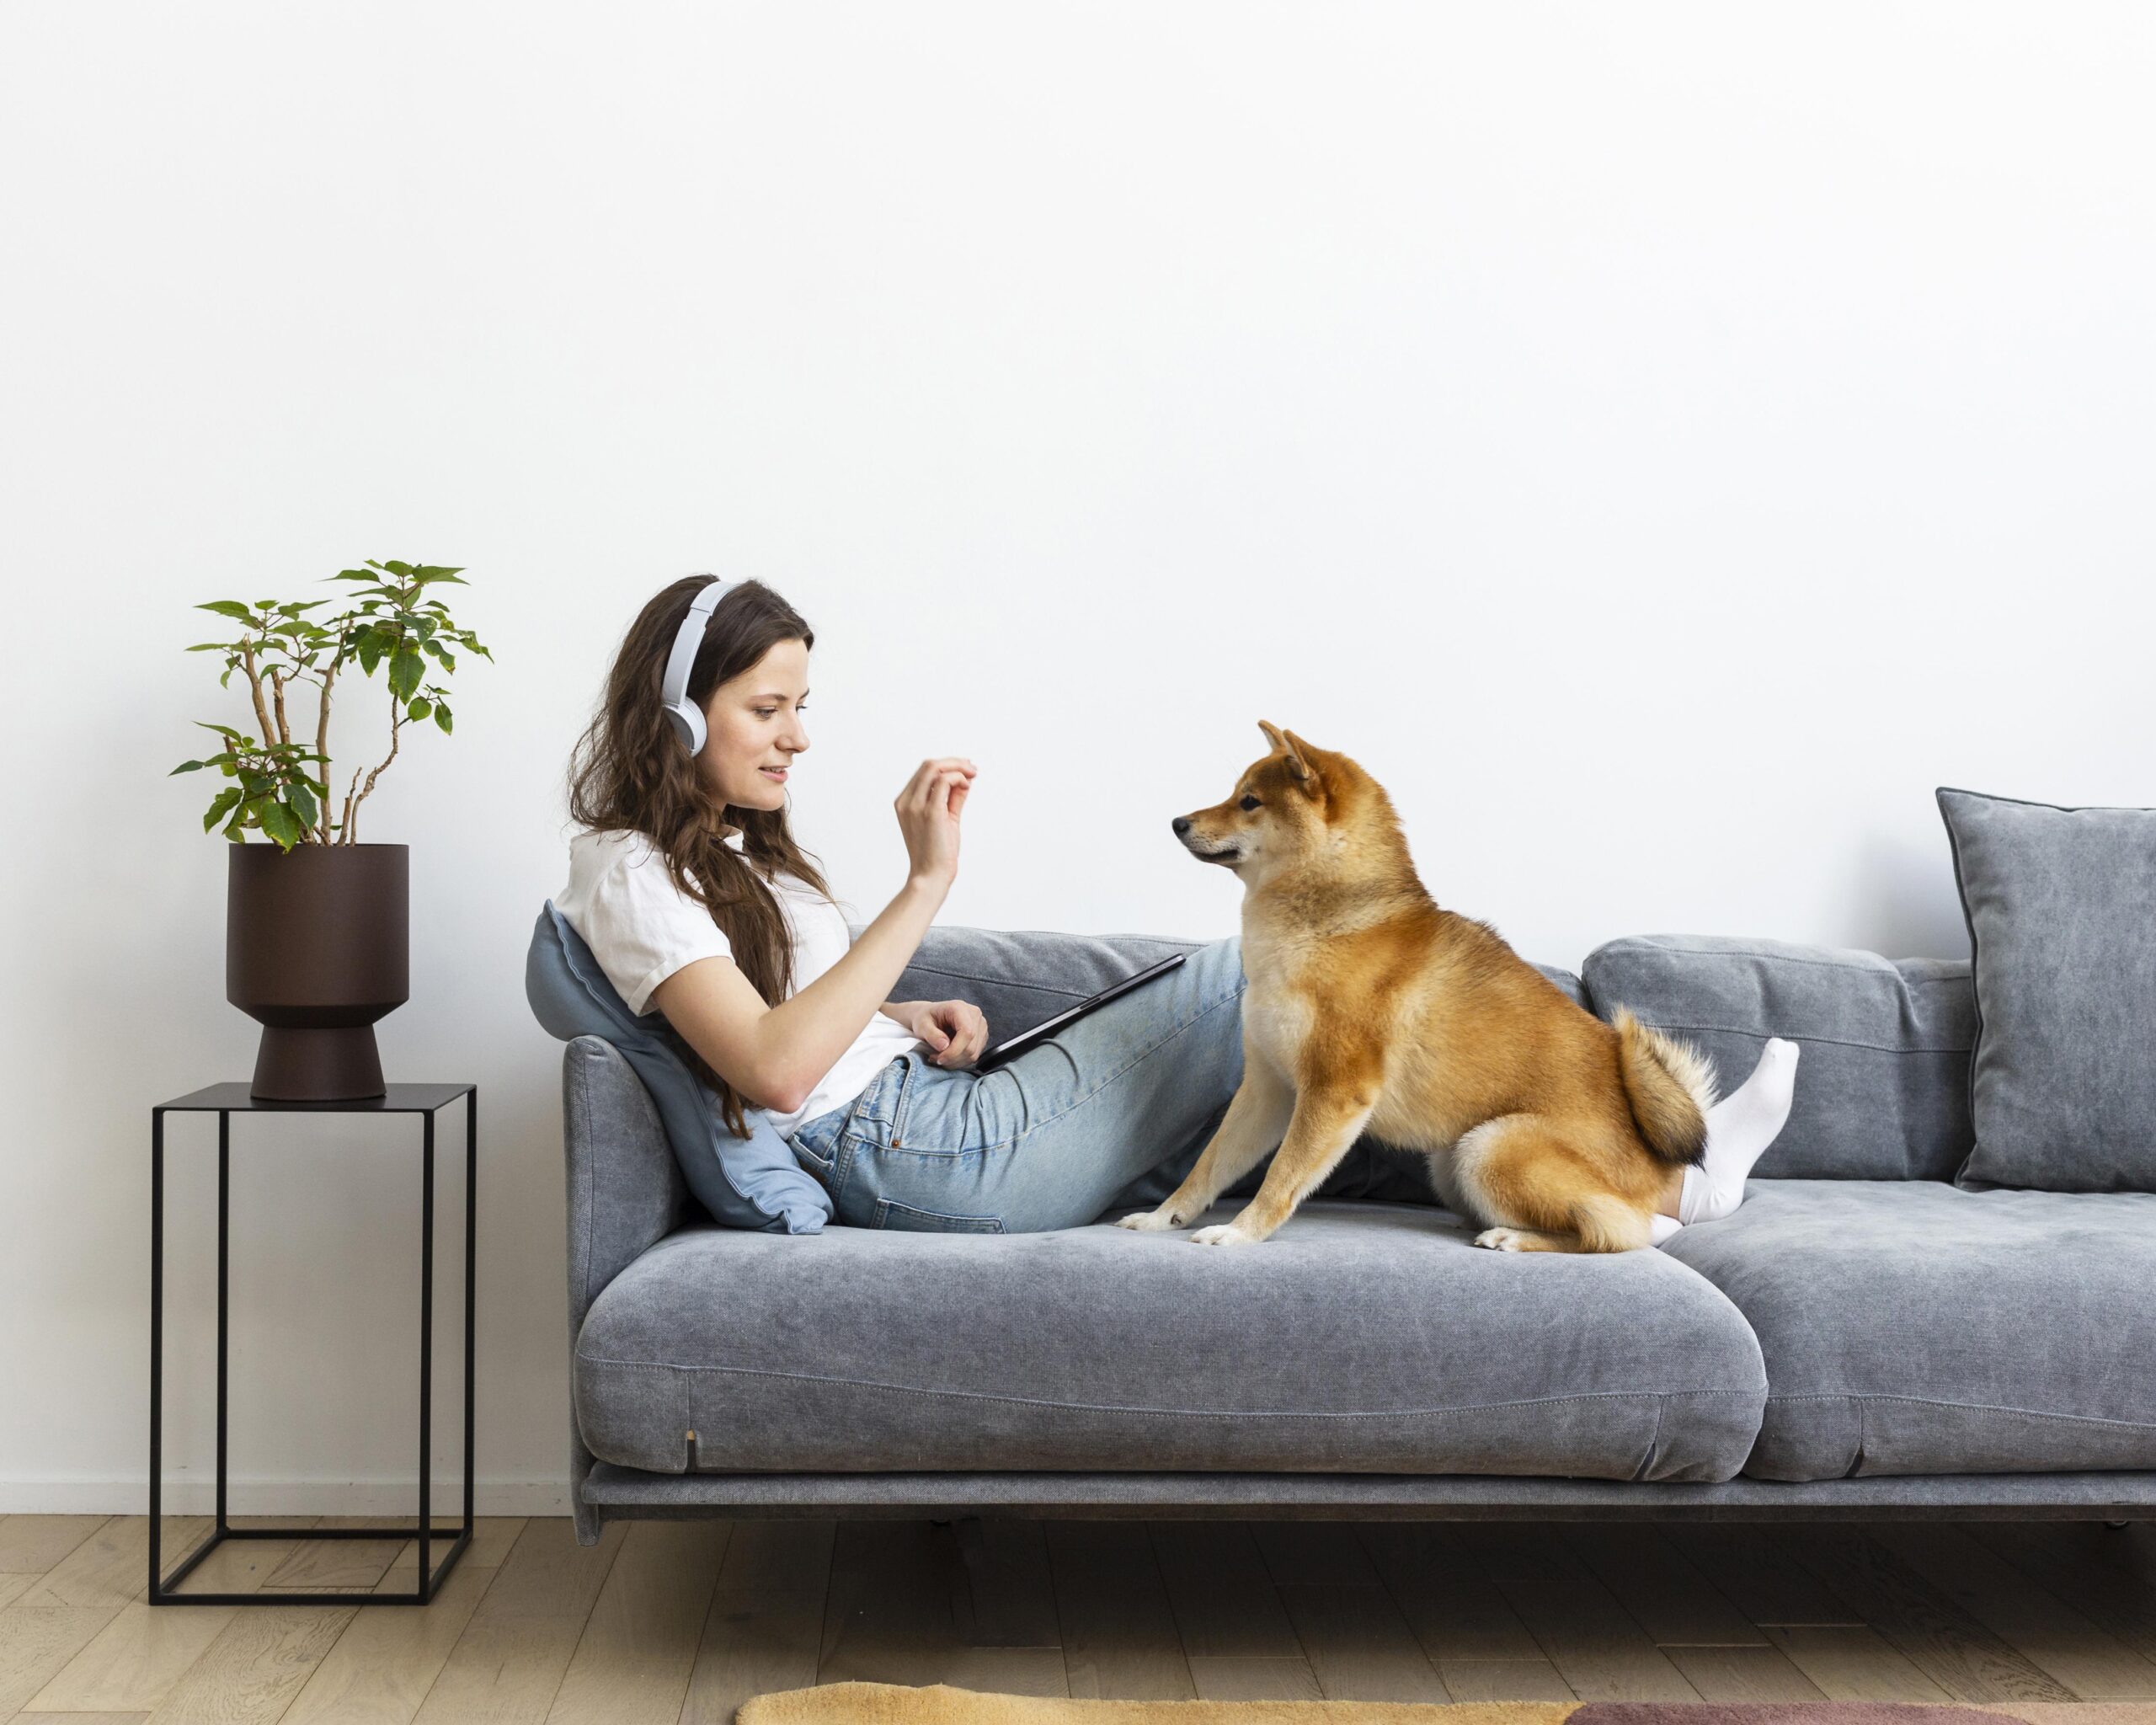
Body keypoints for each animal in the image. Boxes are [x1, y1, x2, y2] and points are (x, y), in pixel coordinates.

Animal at [1121, 715, 1707, 1250]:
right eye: (1235, 795)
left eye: (1249, 802)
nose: (1177, 822)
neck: (1319, 927)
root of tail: (1656, 1163)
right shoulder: (1269, 1087)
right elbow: (1206, 1168)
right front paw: (1163, 1218)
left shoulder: (1334, 1091)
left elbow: (1281, 1176)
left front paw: (1240, 1233)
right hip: (1450, 1164)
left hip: (1487, 1148)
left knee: (1613, 1233)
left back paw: (1513, 1237)